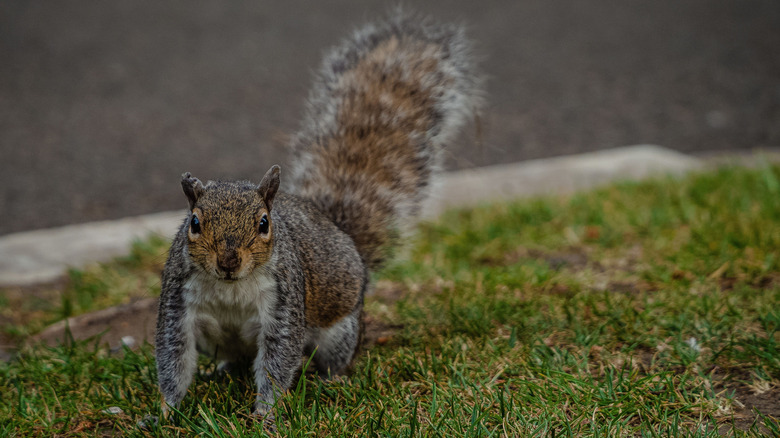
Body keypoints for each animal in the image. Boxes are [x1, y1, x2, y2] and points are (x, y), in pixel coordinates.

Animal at [153, 12, 482, 424]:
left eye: (264, 223)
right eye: (194, 223)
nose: (228, 261)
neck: (230, 286)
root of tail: (341, 232)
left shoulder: (284, 302)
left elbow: (278, 360)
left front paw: (265, 415)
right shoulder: (177, 302)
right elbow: (173, 358)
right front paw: (164, 413)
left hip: (339, 331)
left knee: (330, 358)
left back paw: (330, 380)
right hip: (216, 339)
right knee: (233, 358)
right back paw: (223, 371)